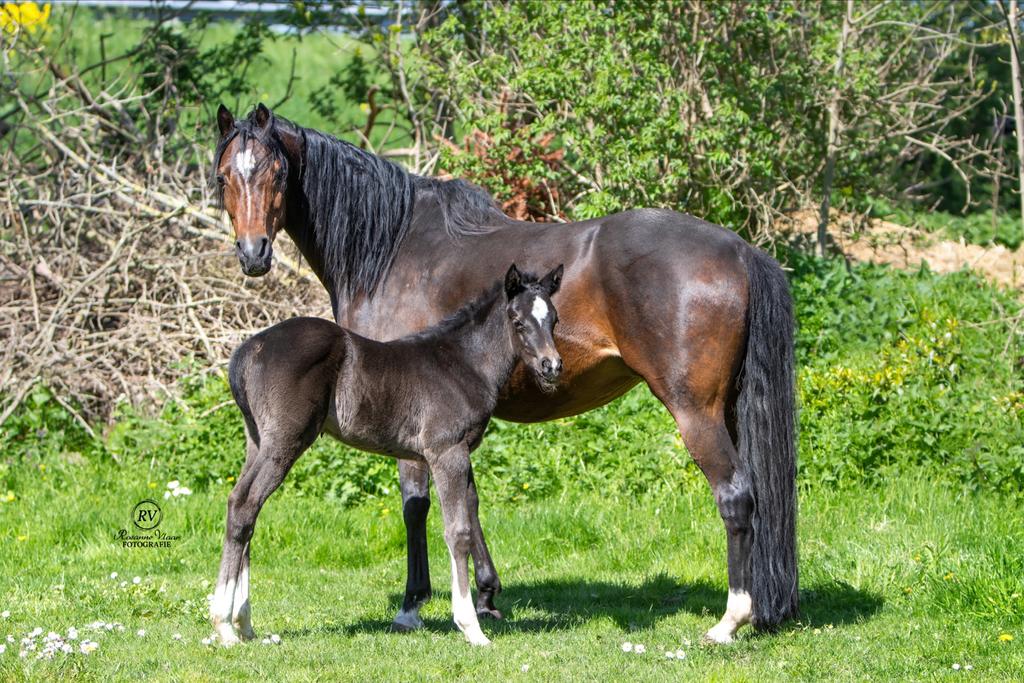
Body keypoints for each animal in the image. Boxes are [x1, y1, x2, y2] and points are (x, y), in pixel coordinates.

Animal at [211, 264, 565, 646]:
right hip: (283, 442)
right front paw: (470, 626)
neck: (463, 363)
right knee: (244, 505)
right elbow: (458, 532)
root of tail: (248, 351)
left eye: (554, 319)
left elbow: (469, 519)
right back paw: (224, 625)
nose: (551, 366)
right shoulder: (447, 452)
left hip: (258, 441)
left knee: (245, 510)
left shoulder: (460, 453)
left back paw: (243, 623)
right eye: (517, 320)